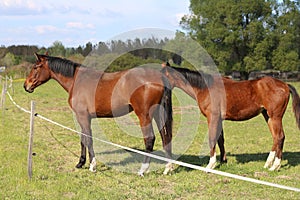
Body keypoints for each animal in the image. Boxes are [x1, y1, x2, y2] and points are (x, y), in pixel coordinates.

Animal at [24, 53, 173, 177]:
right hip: (158, 114)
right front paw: (81, 163)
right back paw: (167, 168)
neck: (77, 81)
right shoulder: (84, 118)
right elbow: (84, 138)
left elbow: (88, 139)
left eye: (36, 67)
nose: (26, 86)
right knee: (165, 137)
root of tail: (159, 77)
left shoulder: (82, 116)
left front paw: (92, 166)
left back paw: (142, 170)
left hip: (144, 115)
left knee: (150, 139)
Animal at [162, 64, 300, 170]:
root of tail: (285, 85)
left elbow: (212, 138)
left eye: (163, 76)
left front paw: (211, 164)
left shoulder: (212, 118)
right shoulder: (218, 120)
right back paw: (268, 163)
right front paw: (223, 161)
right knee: (276, 137)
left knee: (280, 137)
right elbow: (220, 139)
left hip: (275, 117)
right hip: (268, 116)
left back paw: (275, 166)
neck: (205, 88)